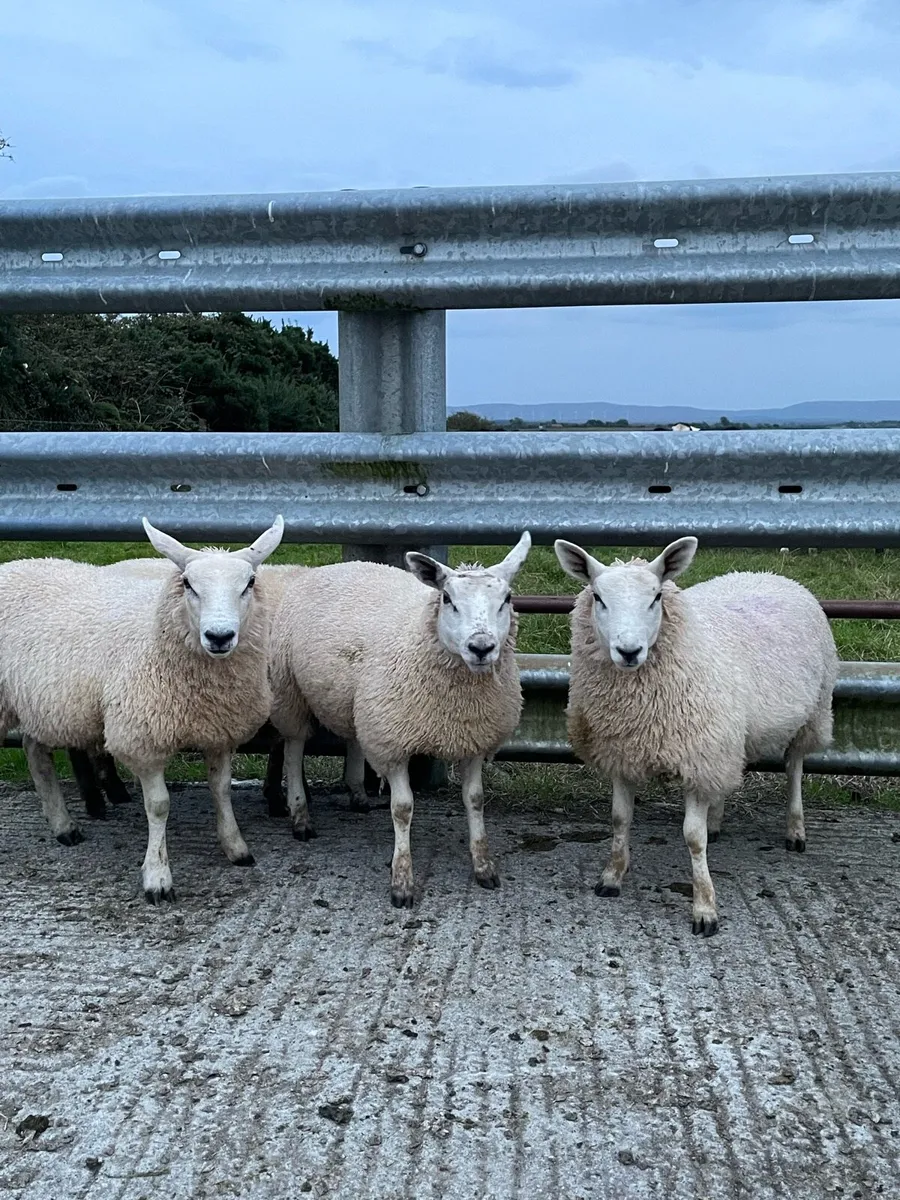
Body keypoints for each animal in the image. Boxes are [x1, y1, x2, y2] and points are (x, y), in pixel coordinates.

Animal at [0, 516, 283, 902]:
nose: (219, 636)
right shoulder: (143, 737)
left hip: (44, 701)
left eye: (249, 583)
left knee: (34, 751)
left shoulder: (219, 731)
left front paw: (235, 847)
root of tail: (14, 564)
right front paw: (157, 877)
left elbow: (221, 789)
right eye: (188, 584)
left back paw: (63, 827)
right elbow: (159, 805)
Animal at [269, 534, 532, 907]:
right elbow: (403, 808)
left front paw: (484, 867)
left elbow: (475, 800)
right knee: (293, 747)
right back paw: (300, 815)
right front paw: (402, 880)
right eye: (447, 598)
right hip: (290, 690)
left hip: (361, 703)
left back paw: (358, 794)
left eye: (507, 599)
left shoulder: (474, 739)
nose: (481, 647)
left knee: (353, 738)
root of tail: (330, 566)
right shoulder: (393, 743)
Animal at [554, 536, 837, 937]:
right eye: (598, 597)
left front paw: (705, 907)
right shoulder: (624, 752)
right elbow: (620, 819)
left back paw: (795, 830)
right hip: (729, 736)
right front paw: (612, 876)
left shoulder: (697, 756)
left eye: (656, 597)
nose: (629, 651)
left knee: (795, 766)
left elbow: (692, 837)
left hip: (812, 713)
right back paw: (717, 820)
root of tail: (770, 574)